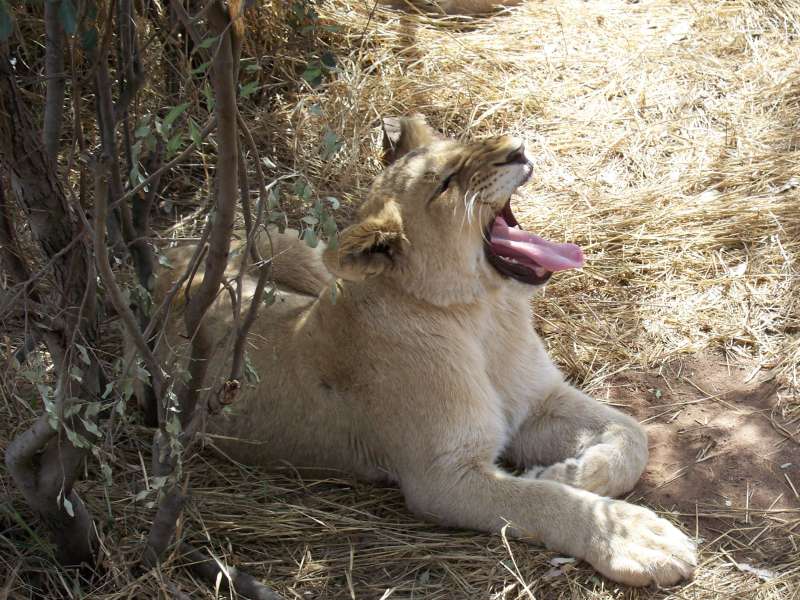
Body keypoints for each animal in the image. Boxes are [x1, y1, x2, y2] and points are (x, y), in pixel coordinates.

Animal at [148, 116, 697, 587]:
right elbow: (541, 499)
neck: (484, 316)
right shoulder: (441, 477)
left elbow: (632, 434)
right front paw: (635, 536)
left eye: (463, 144)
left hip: (296, 250)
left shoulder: (541, 402)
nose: (517, 148)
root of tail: (167, 254)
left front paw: (573, 471)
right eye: (447, 182)